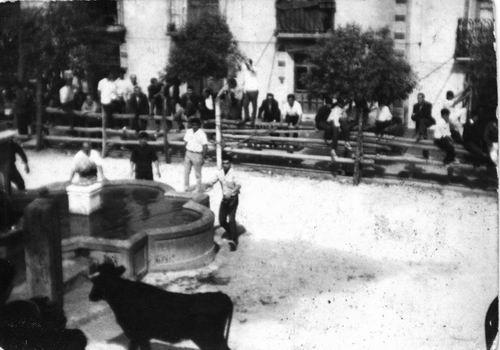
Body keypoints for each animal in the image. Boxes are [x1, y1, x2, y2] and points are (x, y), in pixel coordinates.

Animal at [88, 260, 234, 350]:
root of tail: (222, 296)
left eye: (97, 282)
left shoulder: (137, 335)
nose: (90, 296)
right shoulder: (140, 337)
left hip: (210, 338)